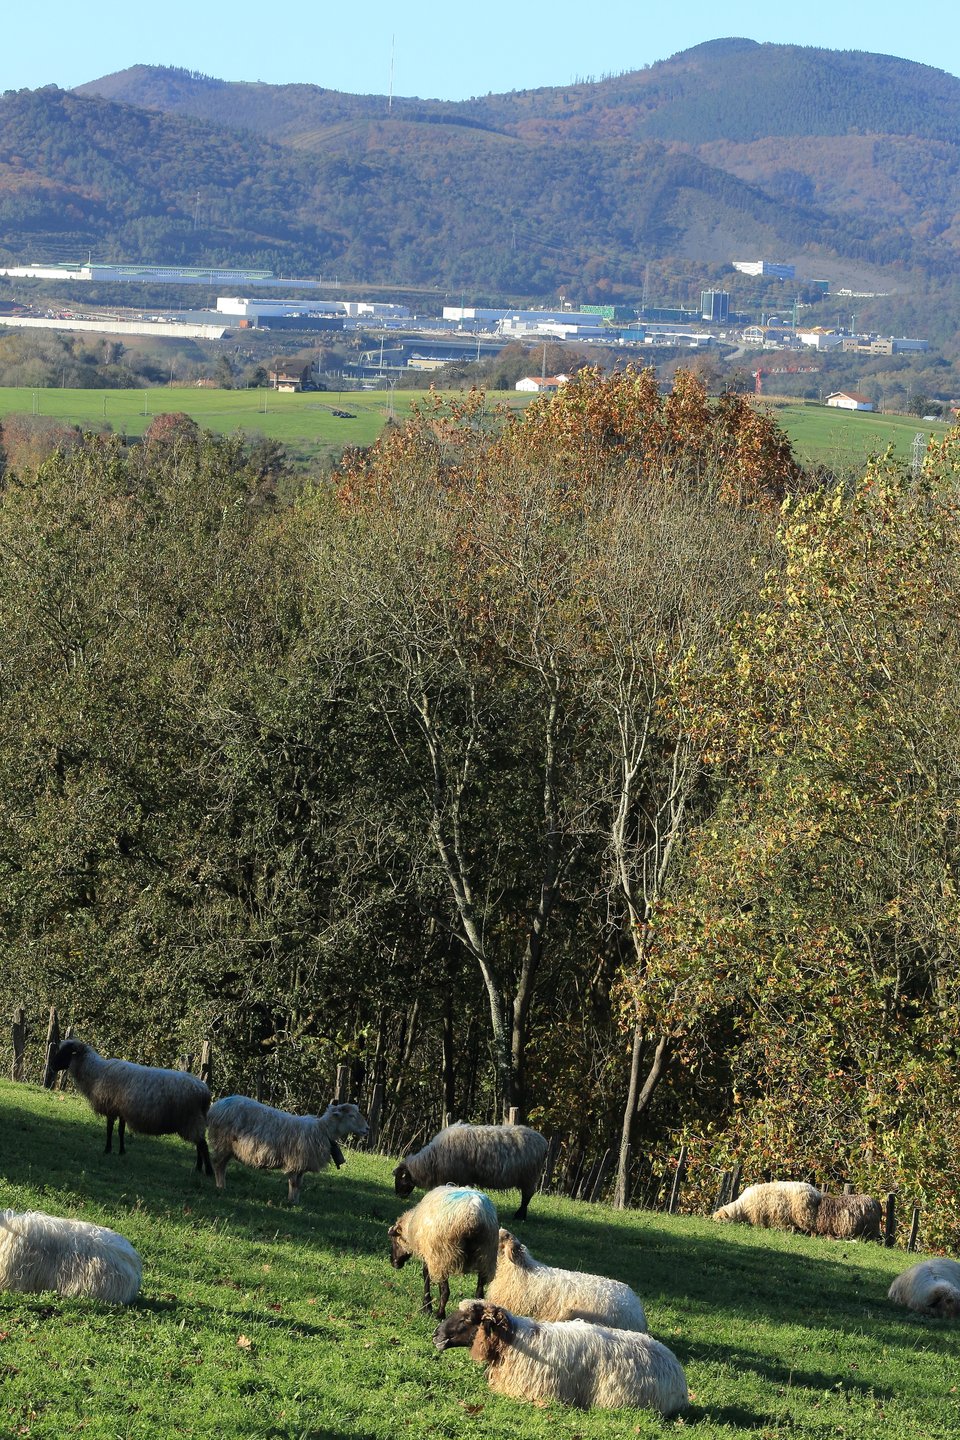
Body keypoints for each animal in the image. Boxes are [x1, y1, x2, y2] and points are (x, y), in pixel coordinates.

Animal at [53, 1038, 213, 1174]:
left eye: (65, 1052)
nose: (52, 1066)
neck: (96, 1072)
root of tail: (205, 1092)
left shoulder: (111, 1107)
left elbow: (109, 1129)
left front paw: (107, 1149)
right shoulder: (121, 1109)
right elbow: (120, 1131)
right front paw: (121, 1151)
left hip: (190, 1119)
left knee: (203, 1145)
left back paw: (209, 1171)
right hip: (195, 1120)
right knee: (199, 1144)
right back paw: (198, 1168)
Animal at [207, 1095, 369, 1202]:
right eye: (352, 1115)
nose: (367, 1129)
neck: (322, 1131)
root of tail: (217, 1105)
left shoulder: (302, 1163)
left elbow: (300, 1184)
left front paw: (296, 1202)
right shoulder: (295, 1161)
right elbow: (294, 1182)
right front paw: (291, 1202)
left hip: (228, 1147)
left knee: (221, 1165)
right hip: (223, 1142)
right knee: (217, 1164)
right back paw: (220, 1186)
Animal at [388, 1184, 499, 1319]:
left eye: (394, 1241)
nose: (393, 1262)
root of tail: (473, 1215)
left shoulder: (429, 1254)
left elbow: (426, 1277)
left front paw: (426, 1308)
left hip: (443, 1256)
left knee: (445, 1291)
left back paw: (440, 1314)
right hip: (486, 1255)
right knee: (479, 1293)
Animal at [393, 1121, 548, 1220]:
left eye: (401, 1178)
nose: (398, 1195)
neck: (432, 1159)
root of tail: (543, 1142)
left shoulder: (459, 1176)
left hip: (529, 1176)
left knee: (526, 1197)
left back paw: (519, 1216)